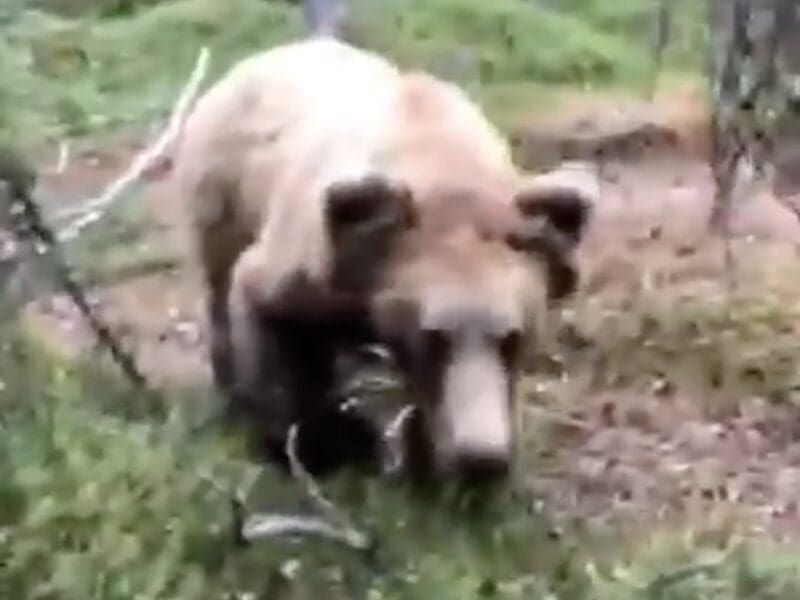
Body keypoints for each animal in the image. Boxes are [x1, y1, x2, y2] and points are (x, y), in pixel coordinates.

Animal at [170, 37, 596, 485]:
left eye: (513, 337)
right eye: (434, 335)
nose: (481, 456)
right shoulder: (319, 259)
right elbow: (268, 318)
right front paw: (308, 449)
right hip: (223, 193)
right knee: (218, 291)